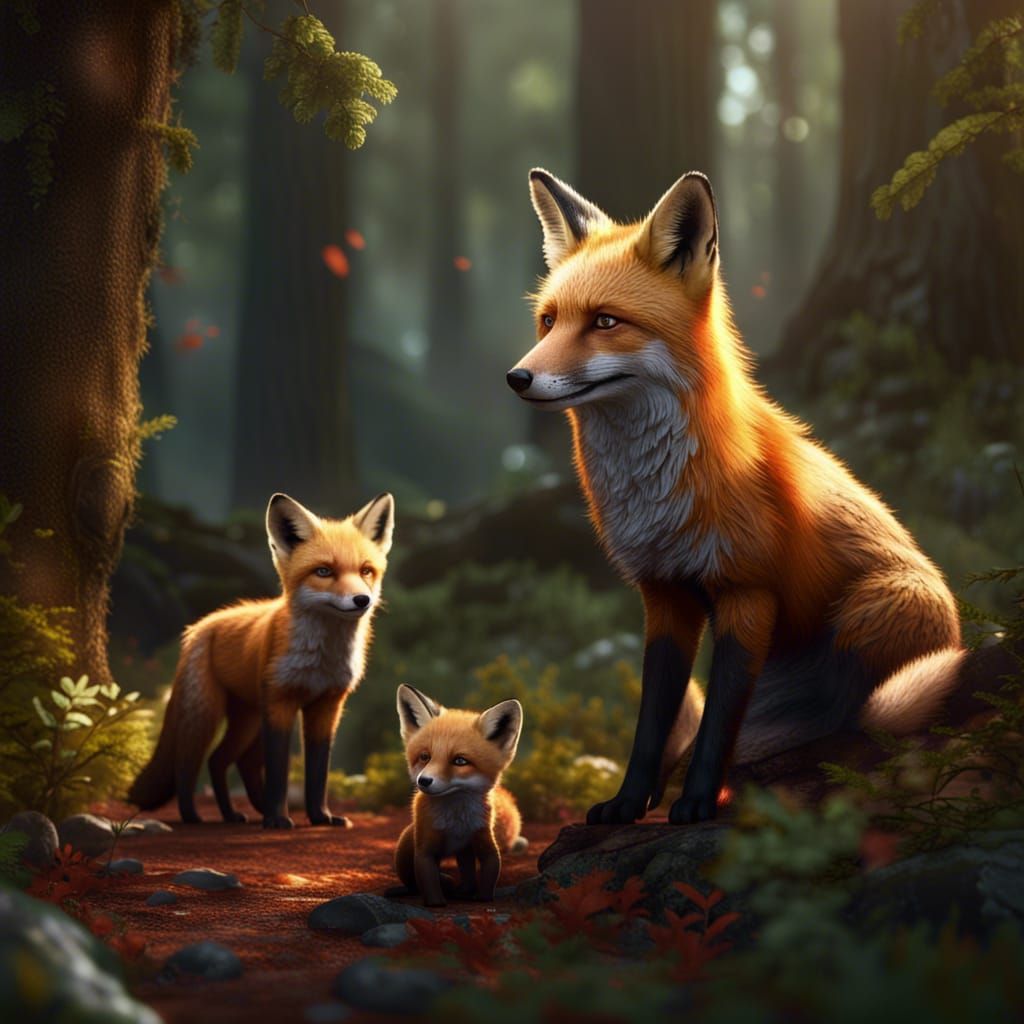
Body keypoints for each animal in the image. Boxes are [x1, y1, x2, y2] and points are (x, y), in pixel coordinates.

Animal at [128, 492, 394, 829]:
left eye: (366, 571)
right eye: (323, 571)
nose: (362, 600)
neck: (321, 662)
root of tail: (201, 626)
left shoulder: (327, 706)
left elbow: (318, 771)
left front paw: (320, 817)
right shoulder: (280, 703)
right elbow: (278, 770)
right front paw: (277, 819)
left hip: (250, 717)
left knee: (224, 760)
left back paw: (234, 814)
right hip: (207, 715)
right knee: (188, 765)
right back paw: (193, 816)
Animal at [393, 684, 527, 907]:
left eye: (460, 761)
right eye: (425, 757)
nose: (424, 781)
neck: (456, 821)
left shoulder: (483, 834)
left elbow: (491, 867)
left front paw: (483, 899)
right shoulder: (425, 845)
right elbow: (428, 878)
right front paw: (436, 903)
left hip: (465, 852)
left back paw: (463, 891)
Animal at [506, 167, 1014, 827]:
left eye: (605, 322)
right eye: (548, 321)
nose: (517, 378)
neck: (657, 494)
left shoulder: (747, 594)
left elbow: (720, 720)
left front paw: (698, 802)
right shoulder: (664, 596)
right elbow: (650, 723)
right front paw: (628, 802)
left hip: (875, 608)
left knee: (854, 716)